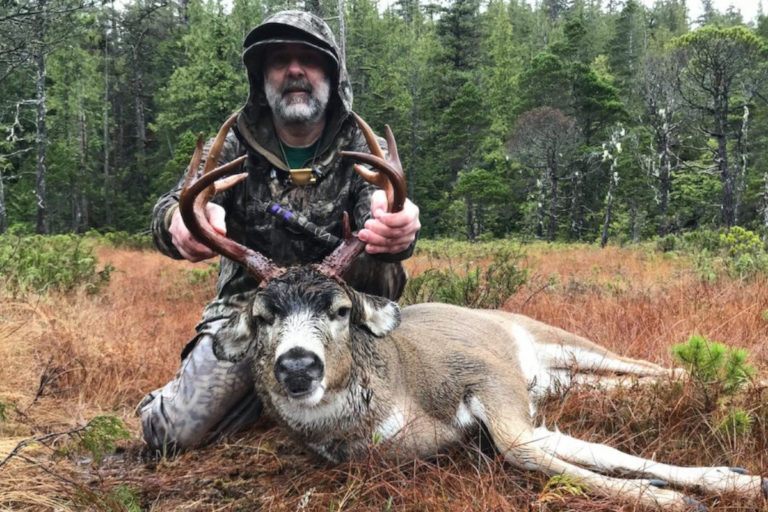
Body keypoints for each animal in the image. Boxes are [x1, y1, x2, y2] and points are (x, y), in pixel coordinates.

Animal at [177, 112, 768, 511]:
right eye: (262, 316)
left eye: (341, 308)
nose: (298, 366)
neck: (399, 403)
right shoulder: (509, 403)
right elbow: (555, 446)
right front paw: (686, 486)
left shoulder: (486, 373)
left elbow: (526, 446)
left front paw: (711, 486)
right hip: (564, 378)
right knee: (640, 386)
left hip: (560, 339)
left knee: (658, 367)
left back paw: (749, 383)